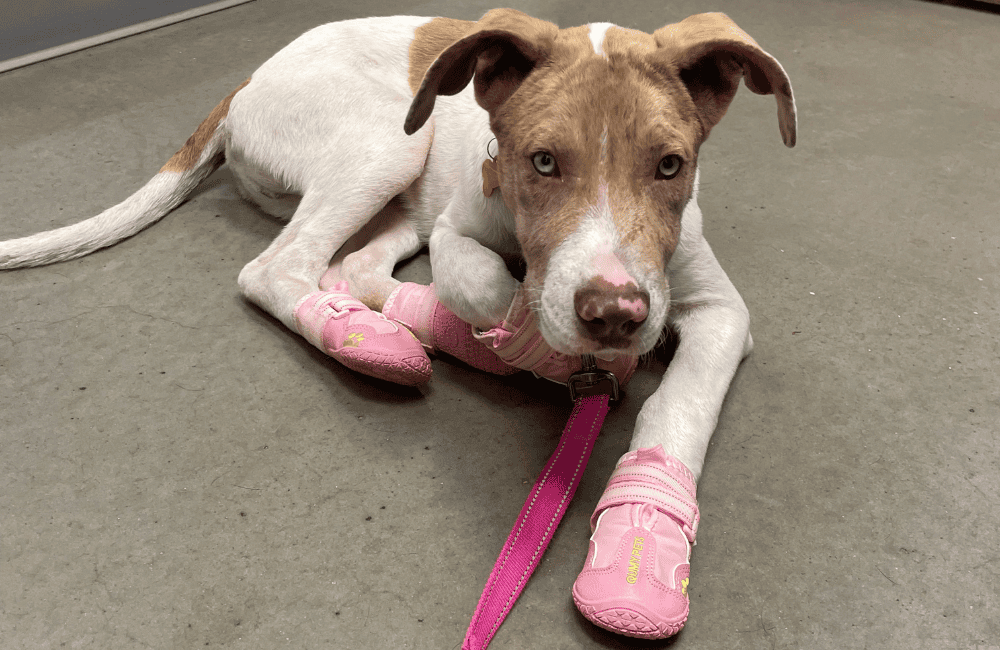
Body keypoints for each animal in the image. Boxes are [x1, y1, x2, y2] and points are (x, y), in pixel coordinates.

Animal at [0, 7, 796, 636]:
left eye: (671, 166)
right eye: (540, 162)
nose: (613, 316)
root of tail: (249, 80)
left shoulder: (720, 312)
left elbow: (680, 406)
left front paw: (639, 545)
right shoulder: (459, 227)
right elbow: (478, 281)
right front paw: (525, 341)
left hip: (398, 191)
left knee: (346, 268)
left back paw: (397, 333)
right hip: (389, 142)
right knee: (278, 268)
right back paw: (378, 339)